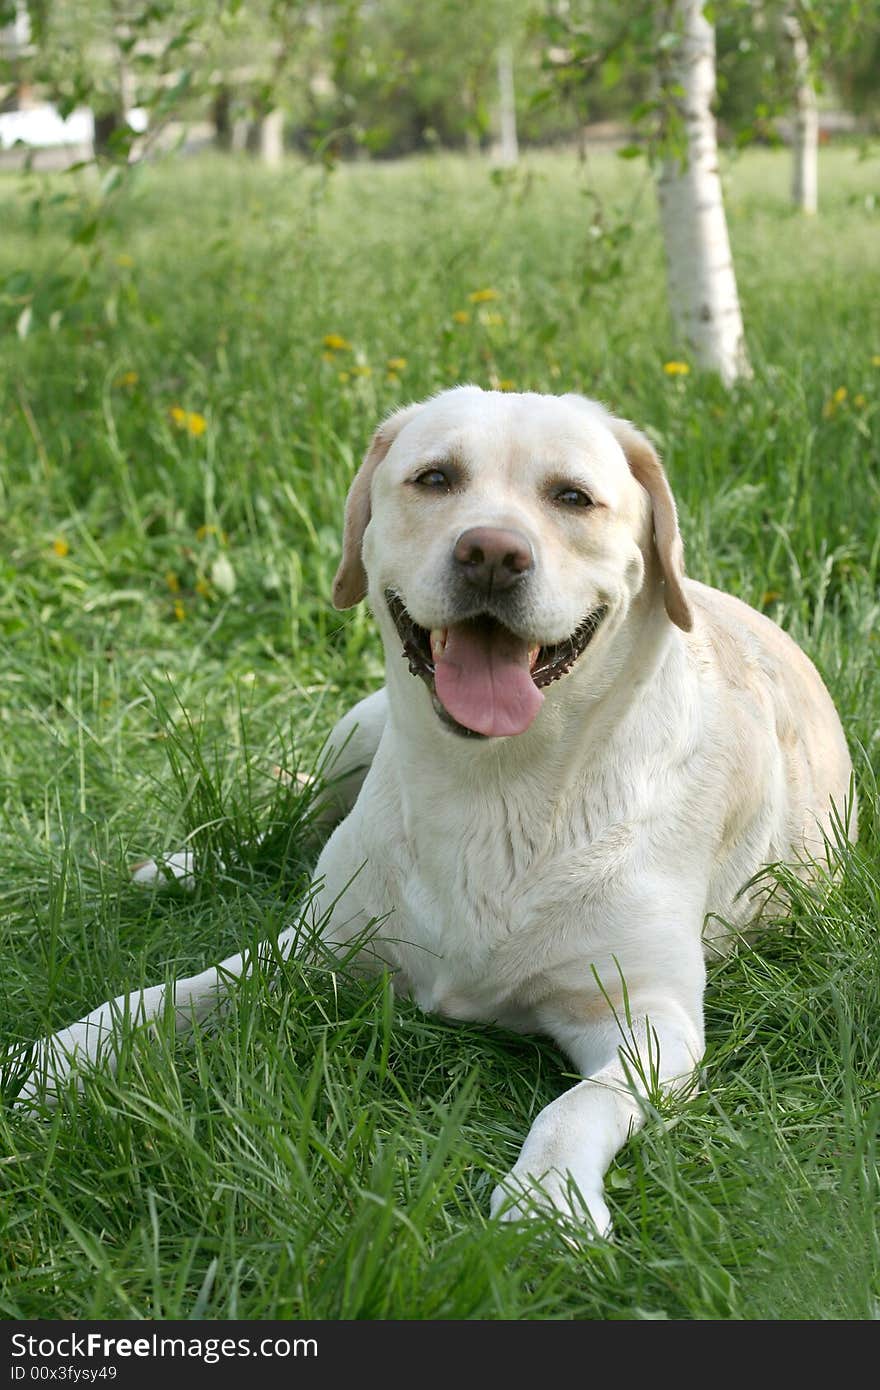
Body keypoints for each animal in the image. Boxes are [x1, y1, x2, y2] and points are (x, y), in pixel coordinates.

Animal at [15, 386, 850, 1234]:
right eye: (436, 478)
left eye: (572, 497)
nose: (492, 553)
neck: (492, 787)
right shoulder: (309, 948)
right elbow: (156, 998)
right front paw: (57, 1057)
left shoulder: (650, 1019)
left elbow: (578, 1106)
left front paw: (548, 1193)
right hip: (356, 730)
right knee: (287, 821)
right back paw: (186, 864)